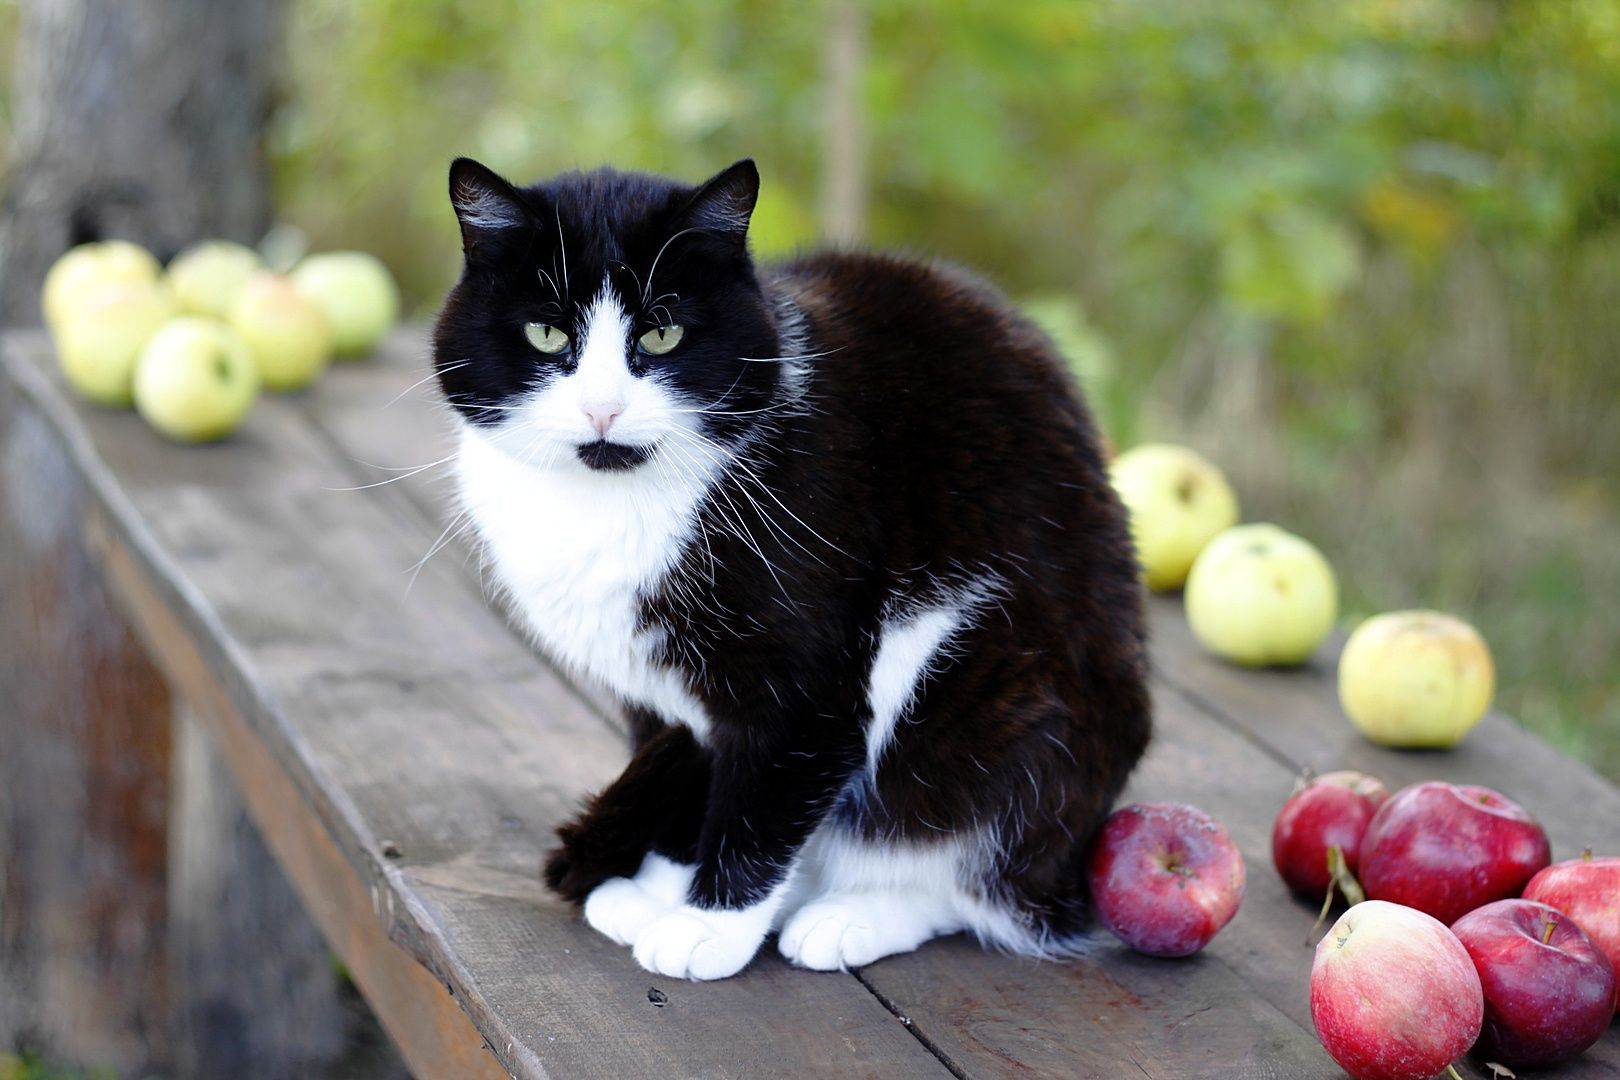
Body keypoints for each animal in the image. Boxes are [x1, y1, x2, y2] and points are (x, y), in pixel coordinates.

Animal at [430, 158, 1153, 977]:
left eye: (664, 333)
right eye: (547, 331)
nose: (603, 411)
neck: (605, 506)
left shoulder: (811, 673)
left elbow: (767, 793)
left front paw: (708, 927)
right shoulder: (659, 694)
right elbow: (690, 771)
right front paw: (660, 889)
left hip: (1002, 693)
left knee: (968, 875)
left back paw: (851, 916)